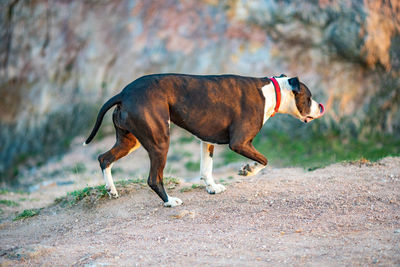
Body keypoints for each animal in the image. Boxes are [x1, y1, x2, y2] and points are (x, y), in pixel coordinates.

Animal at [84, 74, 324, 208]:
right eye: (309, 97)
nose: (321, 107)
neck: (272, 91)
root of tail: (124, 93)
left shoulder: (208, 141)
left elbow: (206, 169)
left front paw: (213, 188)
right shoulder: (240, 142)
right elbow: (264, 160)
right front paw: (248, 170)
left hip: (129, 141)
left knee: (104, 158)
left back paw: (111, 189)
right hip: (160, 142)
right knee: (153, 179)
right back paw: (169, 202)